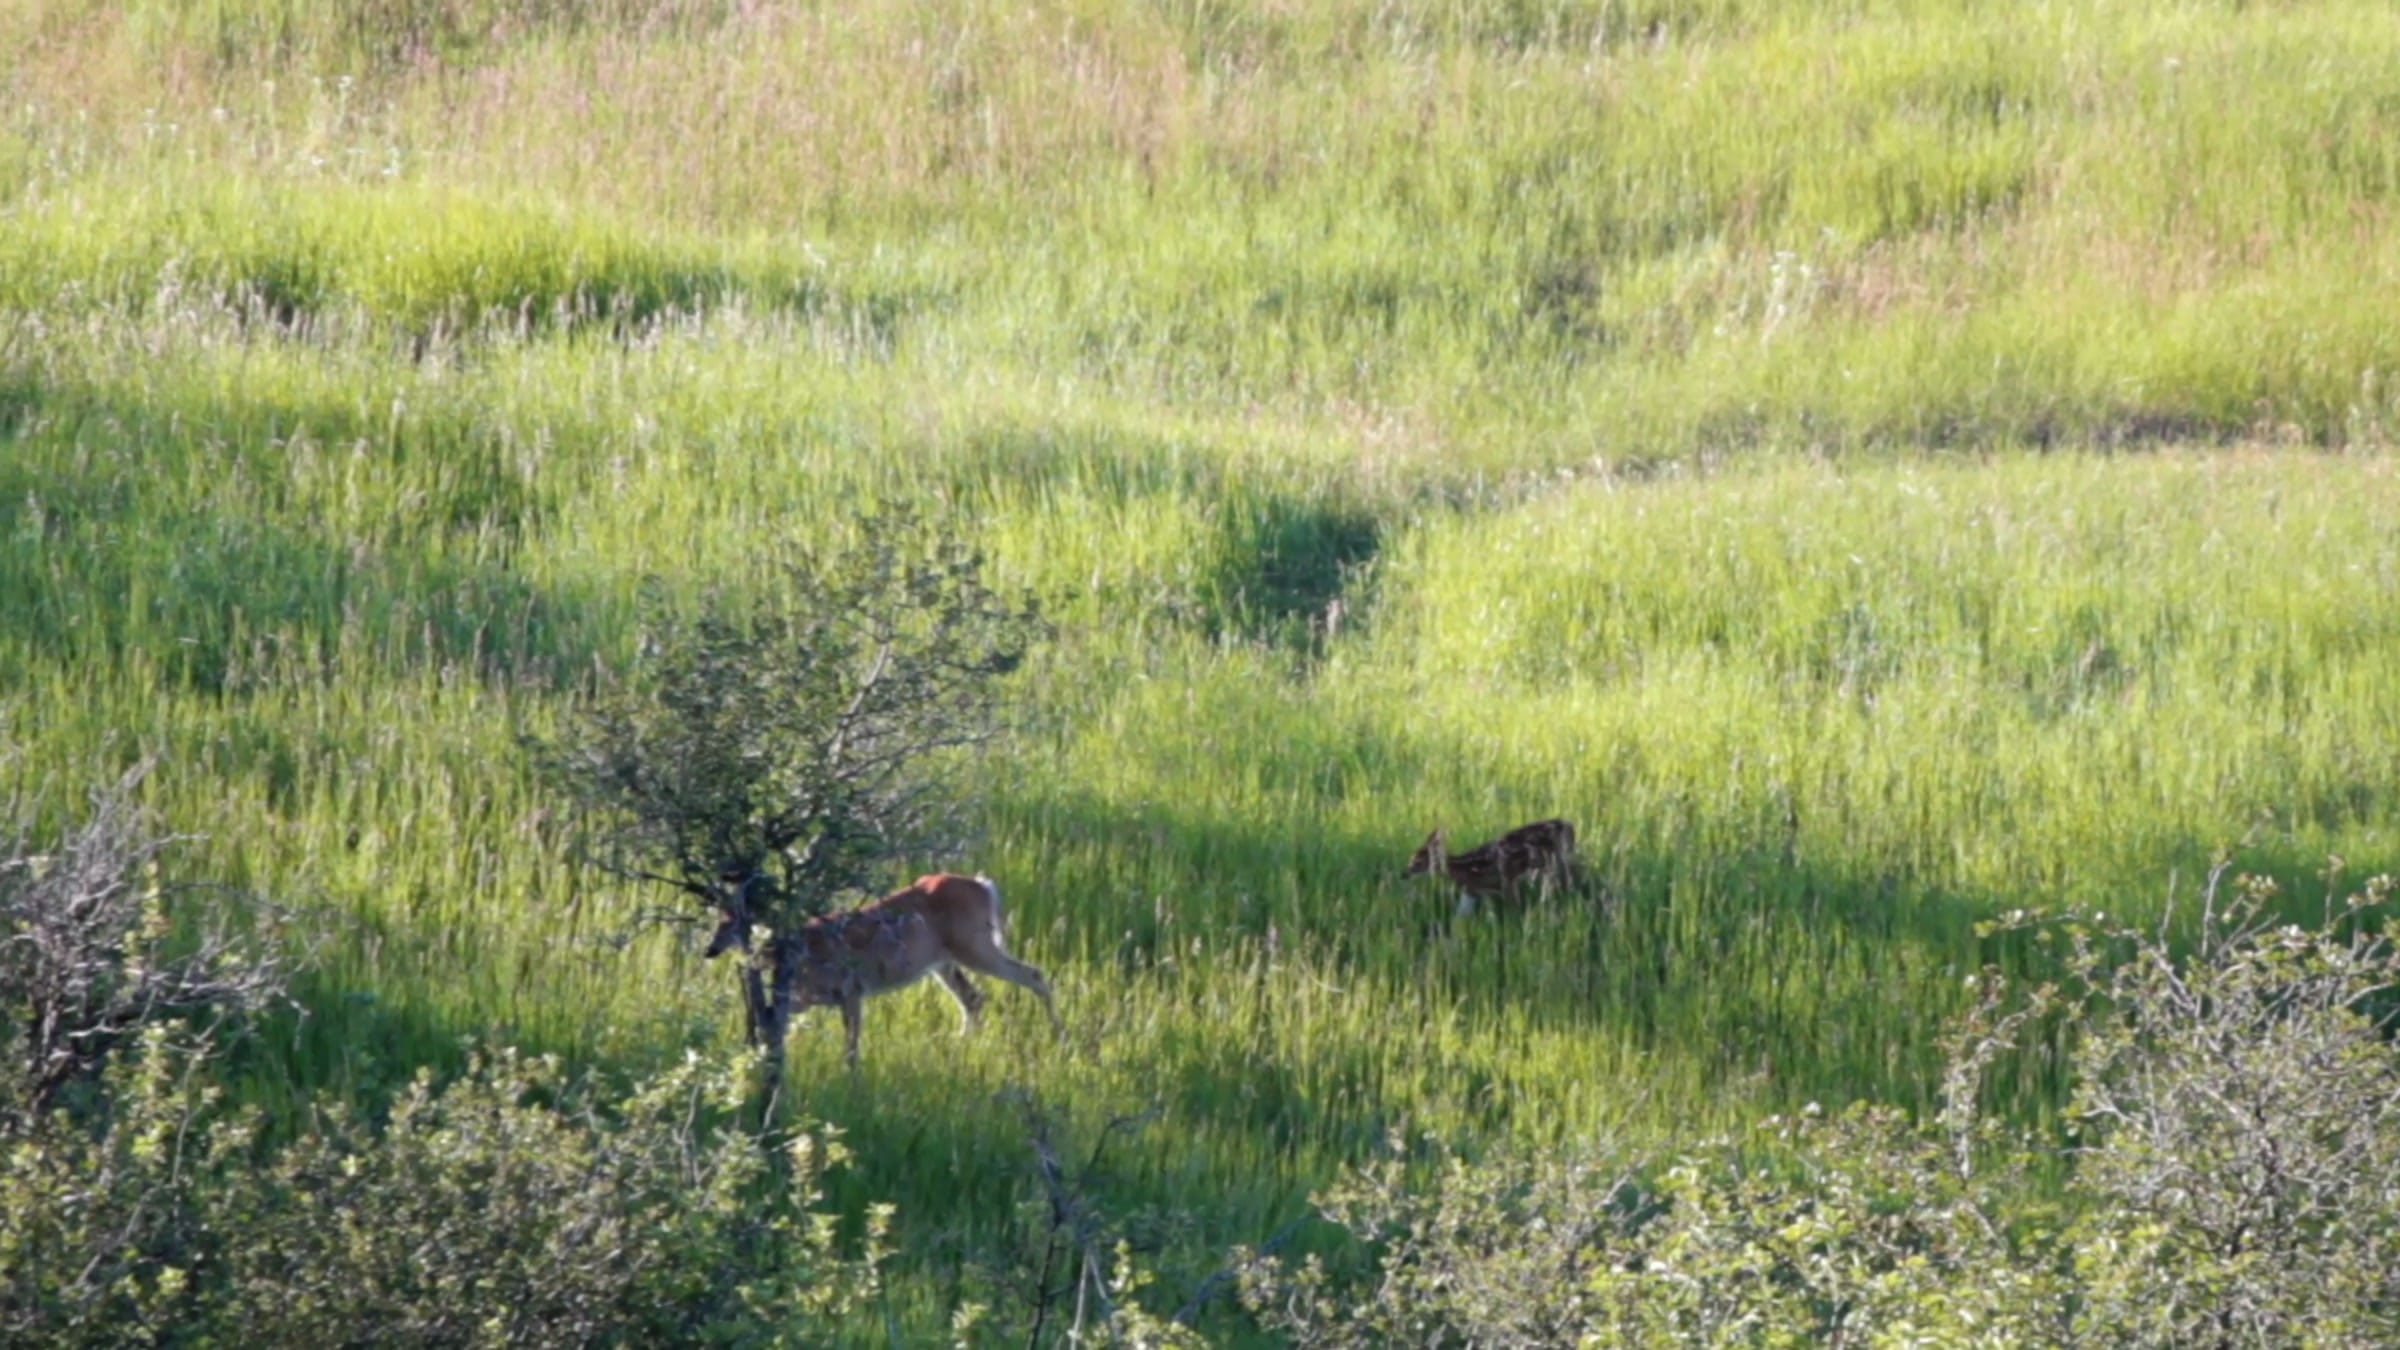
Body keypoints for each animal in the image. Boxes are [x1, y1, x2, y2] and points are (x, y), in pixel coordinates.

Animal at [705, 872, 1061, 1069]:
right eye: (717, 916)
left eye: (734, 919)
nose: (709, 950)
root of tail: (984, 886)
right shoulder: (809, 998)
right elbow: (766, 1015)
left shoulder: (851, 990)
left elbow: (851, 1048)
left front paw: (852, 1086)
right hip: (944, 961)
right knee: (973, 998)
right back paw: (959, 1048)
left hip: (974, 945)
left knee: (1033, 975)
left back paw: (1059, 1036)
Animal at [1405, 818, 1578, 918]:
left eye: (1418, 862)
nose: (1404, 874)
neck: (1462, 868)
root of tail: (1567, 825)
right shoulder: (1474, 891)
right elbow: (1463, 917)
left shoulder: (1505, 882)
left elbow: (1513, 909)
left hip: (1555, 859)